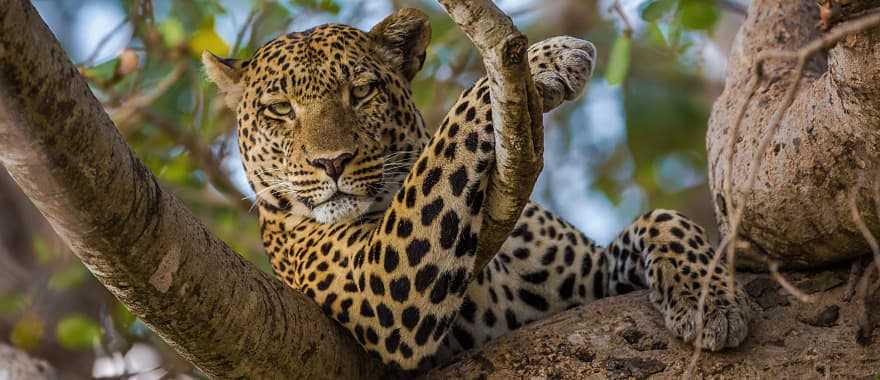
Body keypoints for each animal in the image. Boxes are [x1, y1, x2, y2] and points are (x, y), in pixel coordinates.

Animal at [203, 7, 752, 376]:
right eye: (280, 109)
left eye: (361, 92)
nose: (331, 162)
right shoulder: (379, 283)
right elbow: (455, 122)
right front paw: (545, 58)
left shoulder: (587, 279)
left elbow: (663, 219)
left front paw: (712, 300)